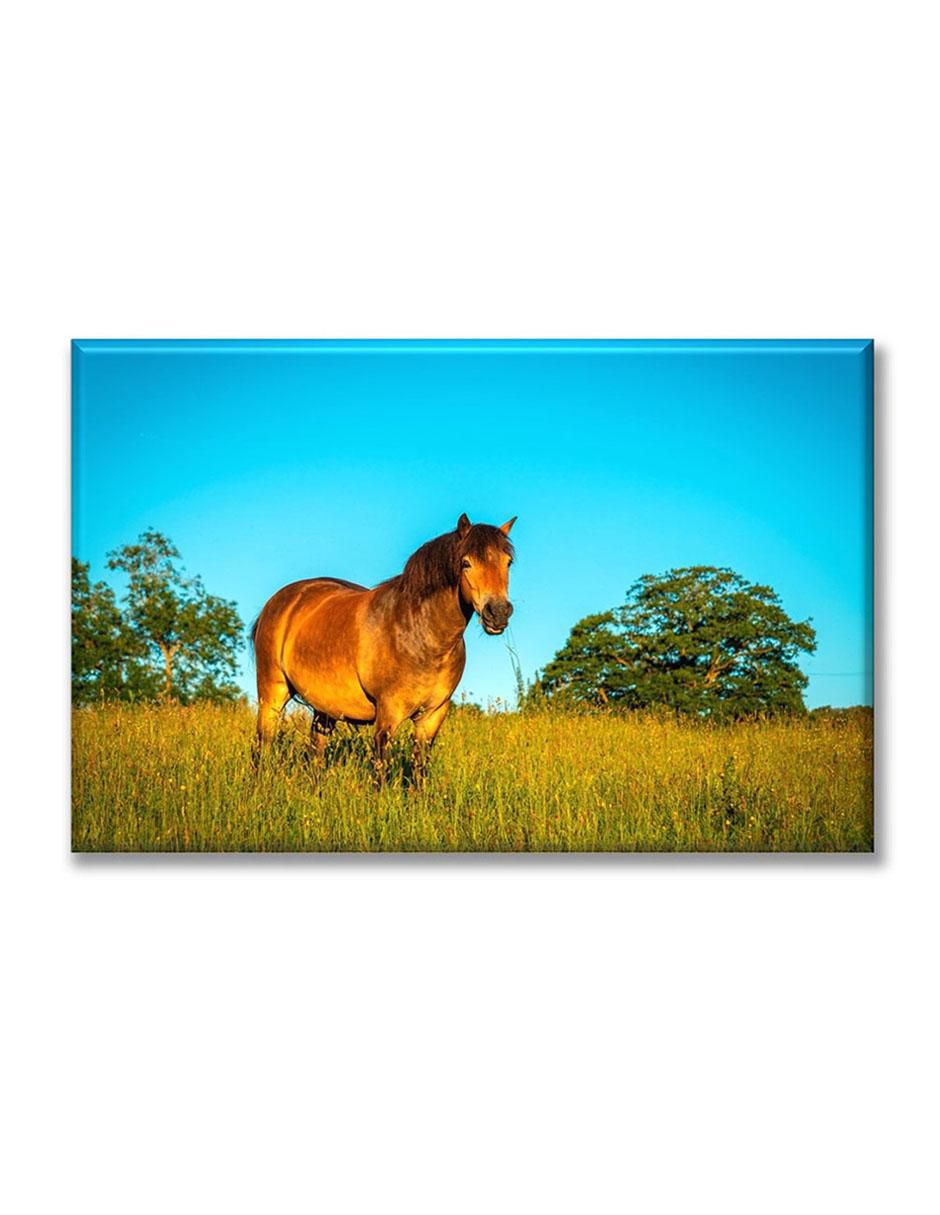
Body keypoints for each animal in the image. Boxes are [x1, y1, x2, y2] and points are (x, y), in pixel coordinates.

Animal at [250, 513, 516, 780]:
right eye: (466, 563)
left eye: (508, 562)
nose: (498, 612)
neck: (420, 634)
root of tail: (281, 600)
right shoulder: (387, 714)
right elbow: (381, 773)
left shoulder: (432, 716)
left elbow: (419, 770)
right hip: (272, 694)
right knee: (262, 745)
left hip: (324, 708)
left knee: (316, 751)